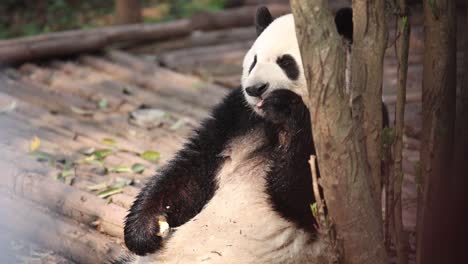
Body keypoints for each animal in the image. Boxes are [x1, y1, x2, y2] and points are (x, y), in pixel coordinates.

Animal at [118, 6, 366, 264]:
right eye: (253, 61)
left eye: (286, 62)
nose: (255, 89)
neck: (274, 122)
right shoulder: (240, 116)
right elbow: (194, 165)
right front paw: (145, 230)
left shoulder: (345, 128)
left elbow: (308, 197)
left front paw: (285, 105)